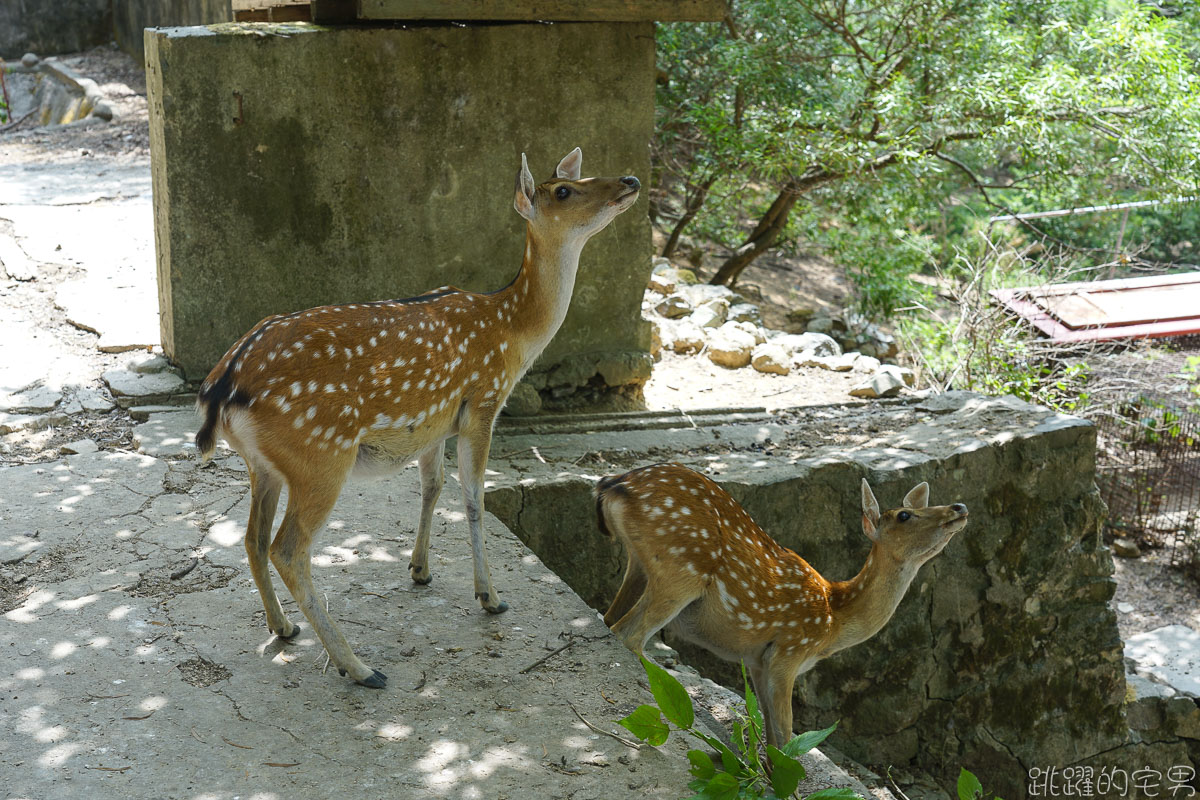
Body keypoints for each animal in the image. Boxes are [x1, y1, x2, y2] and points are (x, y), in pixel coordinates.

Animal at [194, 149, 638, 690]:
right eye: (564, 192)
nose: (631, 180)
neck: (513, 331)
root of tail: (221, 387)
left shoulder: (434, 423)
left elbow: (433, 486)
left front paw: (420, 570)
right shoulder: (483, 402)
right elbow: (473, 499)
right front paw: (490, 597)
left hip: (265, 466)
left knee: (253, 539)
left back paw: (284, 627)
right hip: (321, 456)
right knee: (288, 549)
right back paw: (359, 667)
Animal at [595, 462, 969, 753]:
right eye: (905, 515)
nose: (959, 507)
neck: (832, 621)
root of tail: (614, 485)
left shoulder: (758, 662)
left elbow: (772, 735)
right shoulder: (789, 650)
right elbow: (788, 735)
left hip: (641, 566)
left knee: (609, 618)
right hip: (682, 568)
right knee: (629, 634)